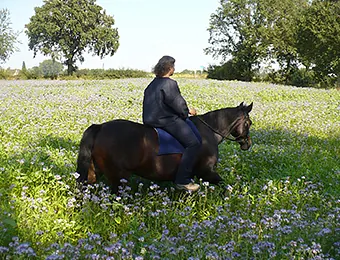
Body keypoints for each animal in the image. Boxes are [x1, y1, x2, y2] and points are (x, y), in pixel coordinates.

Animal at [76, 102, 252, 192]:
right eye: (248, 123)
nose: (247, 144)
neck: (209, 131)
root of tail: (100, 127)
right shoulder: (206, 172)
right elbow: (225, 186)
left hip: (94, 173)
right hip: (119, 178)